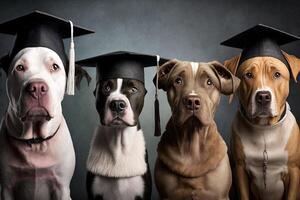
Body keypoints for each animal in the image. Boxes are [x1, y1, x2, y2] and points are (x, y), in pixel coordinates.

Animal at [0, 47, 89, 200]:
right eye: (20, 67)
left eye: (55, 67)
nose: (37, 87)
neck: (36, 142)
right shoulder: (7, 188)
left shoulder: (61, 187)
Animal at [224, 52, 300, 199]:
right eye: (248, 75)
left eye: (277, 74)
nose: (263, 96)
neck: (265, 129)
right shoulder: (240, 170)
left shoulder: (294, 171)